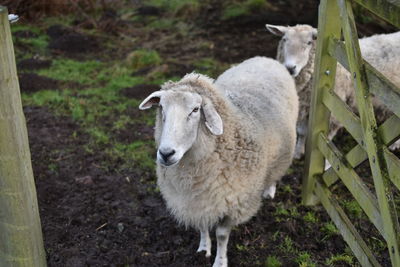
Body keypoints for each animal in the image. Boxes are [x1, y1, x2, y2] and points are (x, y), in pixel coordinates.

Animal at [139, 56, 298, 267]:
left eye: (195, 110)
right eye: (162, 109)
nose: (166, 153)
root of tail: (266, 59)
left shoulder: (233, 202)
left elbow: (222, 235)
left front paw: (220, 261)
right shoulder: (198, 199)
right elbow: (202, 225)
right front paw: (203, 249)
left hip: (284, 151)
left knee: (275, 172)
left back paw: (269, 190)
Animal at [266, 24, 400, 159]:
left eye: (309, 42)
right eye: (284, 39)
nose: (290, 68)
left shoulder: (332, 113)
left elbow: (327, 141)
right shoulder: (305, 105)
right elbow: (302, 132)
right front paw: (297, 152)